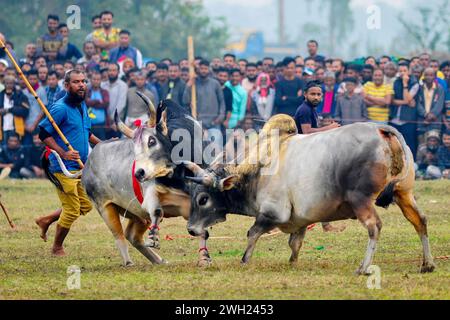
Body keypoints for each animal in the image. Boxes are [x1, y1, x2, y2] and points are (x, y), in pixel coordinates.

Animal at [185, 115, 436, 276]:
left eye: (203, 199)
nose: (191, 229)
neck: (256, 170)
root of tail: (383, 131)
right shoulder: (300, 220)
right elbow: (295, 243)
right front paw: (293, 263)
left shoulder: (272, 212)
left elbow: (253, 233)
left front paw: (245, 260)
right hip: (404, 194)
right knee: (420, 221)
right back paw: (427, 264)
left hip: (361, 200)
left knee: (374, 227)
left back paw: (363, 268)